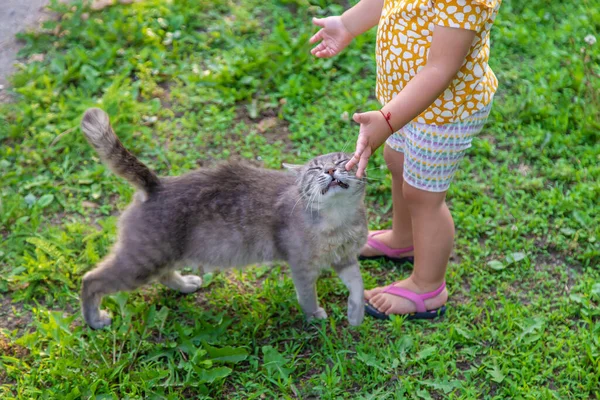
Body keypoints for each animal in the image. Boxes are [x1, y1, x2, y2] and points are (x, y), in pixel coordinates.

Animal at [78, 108, 370, 330]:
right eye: (315, 169)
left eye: (342, 162)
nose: (330, 170)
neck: (338, 221)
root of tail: (157, 185)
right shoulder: (301, 265)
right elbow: (308, 294)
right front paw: (314, 315)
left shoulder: (345, 258)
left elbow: (358, 284)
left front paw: (356, 314)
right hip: (142, 261)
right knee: (91, 280)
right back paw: (95, 320)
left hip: (160, 256)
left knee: (163, 275)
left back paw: (184, 285)